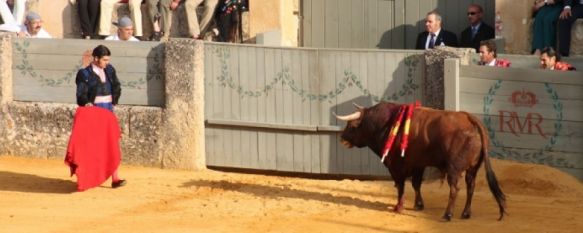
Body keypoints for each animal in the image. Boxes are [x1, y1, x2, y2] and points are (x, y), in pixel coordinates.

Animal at [336, 102, 508, 220]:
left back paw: (447, 215)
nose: (342, 139)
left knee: (455, 189)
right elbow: (416, 184)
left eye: (352, 125)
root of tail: (470, 119)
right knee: (470, 187)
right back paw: (465, 213)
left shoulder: (396, 166)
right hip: (473, 168)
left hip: (453, 168)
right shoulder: (418, 164)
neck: (385, 124)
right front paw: (418, 205)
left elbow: (401, 186)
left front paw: (398, 207)